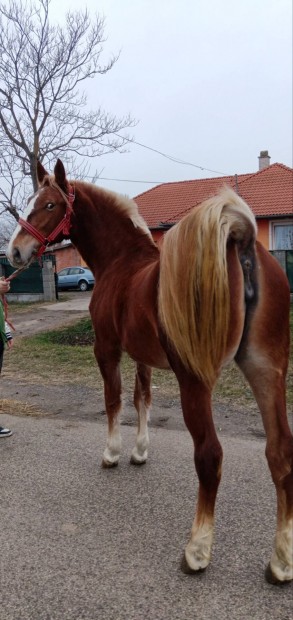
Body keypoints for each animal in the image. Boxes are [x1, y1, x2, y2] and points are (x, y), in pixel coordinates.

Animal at [6, 159, 292, 580]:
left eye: (49, 205)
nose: (14, 251)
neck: (121, 261)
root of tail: (238, 244)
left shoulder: (107, 349)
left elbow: (114, 400)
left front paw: (112, 453)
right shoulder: (141, 354)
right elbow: (143, 398)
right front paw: (139, 451)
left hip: (197, 381)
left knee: (210, 455)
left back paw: (197, 551)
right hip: (266, 371)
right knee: (280, 451)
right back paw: (281, 561)